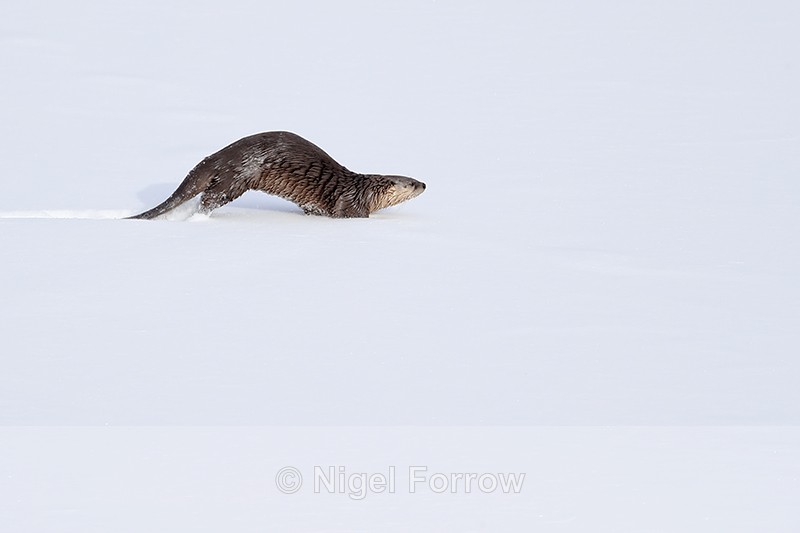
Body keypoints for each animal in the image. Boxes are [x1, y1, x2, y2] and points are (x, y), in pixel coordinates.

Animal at [127, 131, 426, 220]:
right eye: (411, 184)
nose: (424, 183)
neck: (364, 191)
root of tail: (217, 156)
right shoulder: (351, 205)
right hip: (235, 178)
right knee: (210, 198)